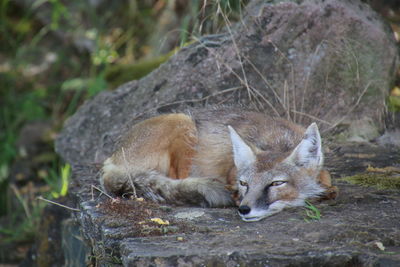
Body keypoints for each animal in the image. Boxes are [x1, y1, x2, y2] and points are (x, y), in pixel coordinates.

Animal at [101, 108, 338, 223]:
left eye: (276, 183)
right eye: (244, 183)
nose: (244, 209)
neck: (277, 141)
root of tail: (110, 158)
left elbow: (327, 179)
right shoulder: (231, 173)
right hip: (183, 123)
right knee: (176, 181)